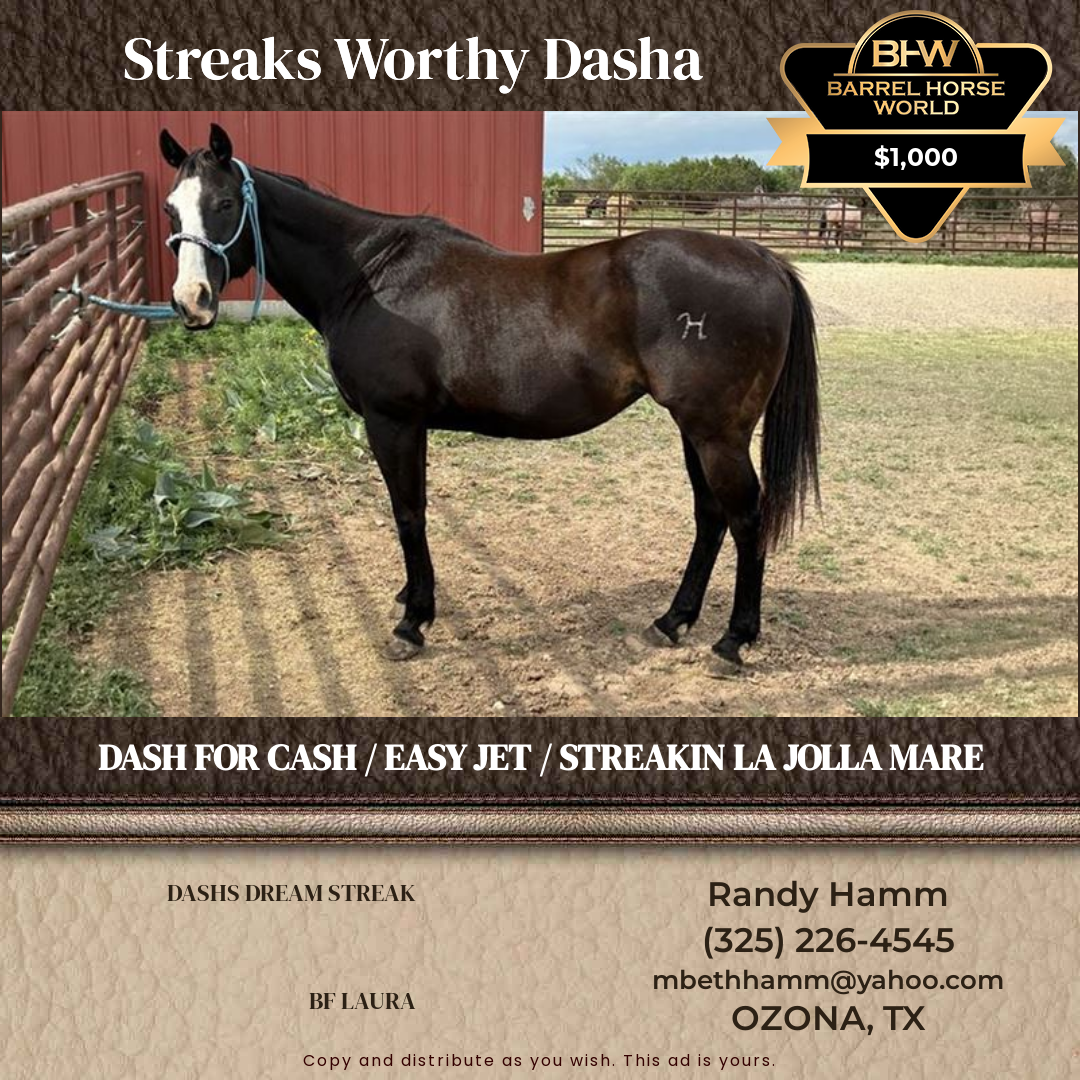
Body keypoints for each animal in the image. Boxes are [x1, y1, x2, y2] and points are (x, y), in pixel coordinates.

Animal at [159, 124, 820, 677]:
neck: (369, 277)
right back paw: (672, 621)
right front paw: (411, 599)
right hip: (696, 431)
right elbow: (412, 512)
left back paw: (732, 642)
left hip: (716, 434)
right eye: (171, 208)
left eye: (224, 204)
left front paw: (412, 621)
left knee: (745, 519)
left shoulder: (393, 422)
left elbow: (408, 514)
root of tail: (763, 258)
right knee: (711, 517)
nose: (190, 302)